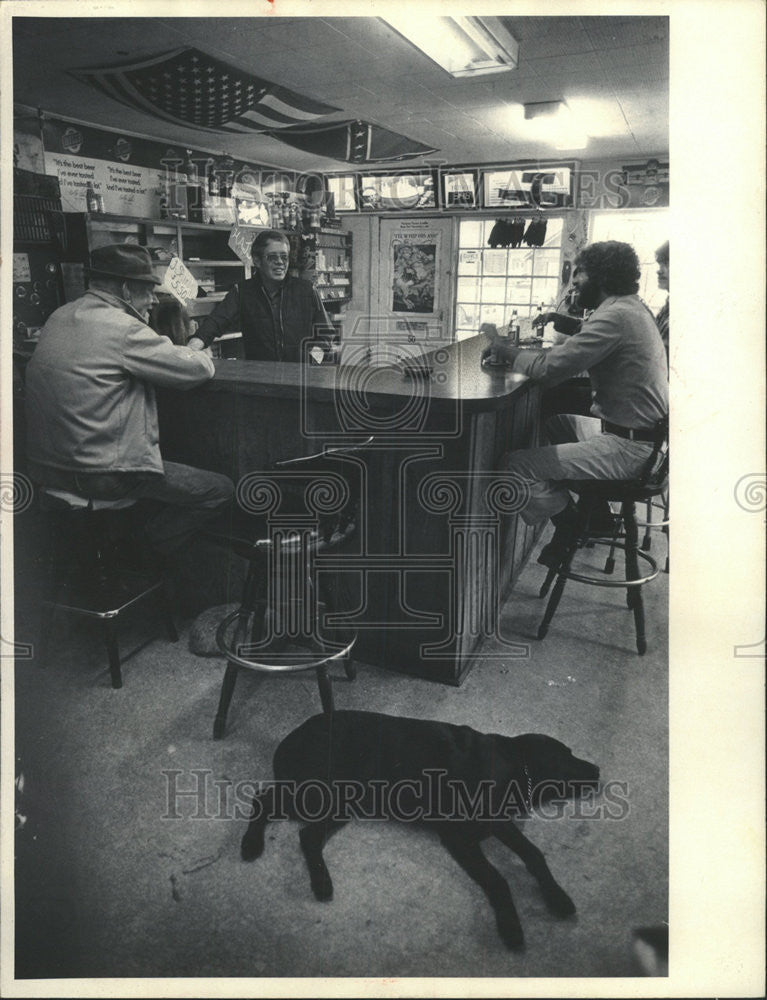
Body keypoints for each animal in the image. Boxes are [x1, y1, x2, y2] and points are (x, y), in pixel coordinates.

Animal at [243, 708, 604, 948]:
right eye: (567, 754)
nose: (598, 769)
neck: (514, 763)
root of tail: (292, 735)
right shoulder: (466, 833)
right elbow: (504, 874)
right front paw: (517, 921)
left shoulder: (489, 827)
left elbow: (525, 859)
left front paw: (549, 900)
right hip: (323, 791)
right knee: (263, 801)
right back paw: (251, 845)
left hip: (343, 802)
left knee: (307, 836)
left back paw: (321, 882)